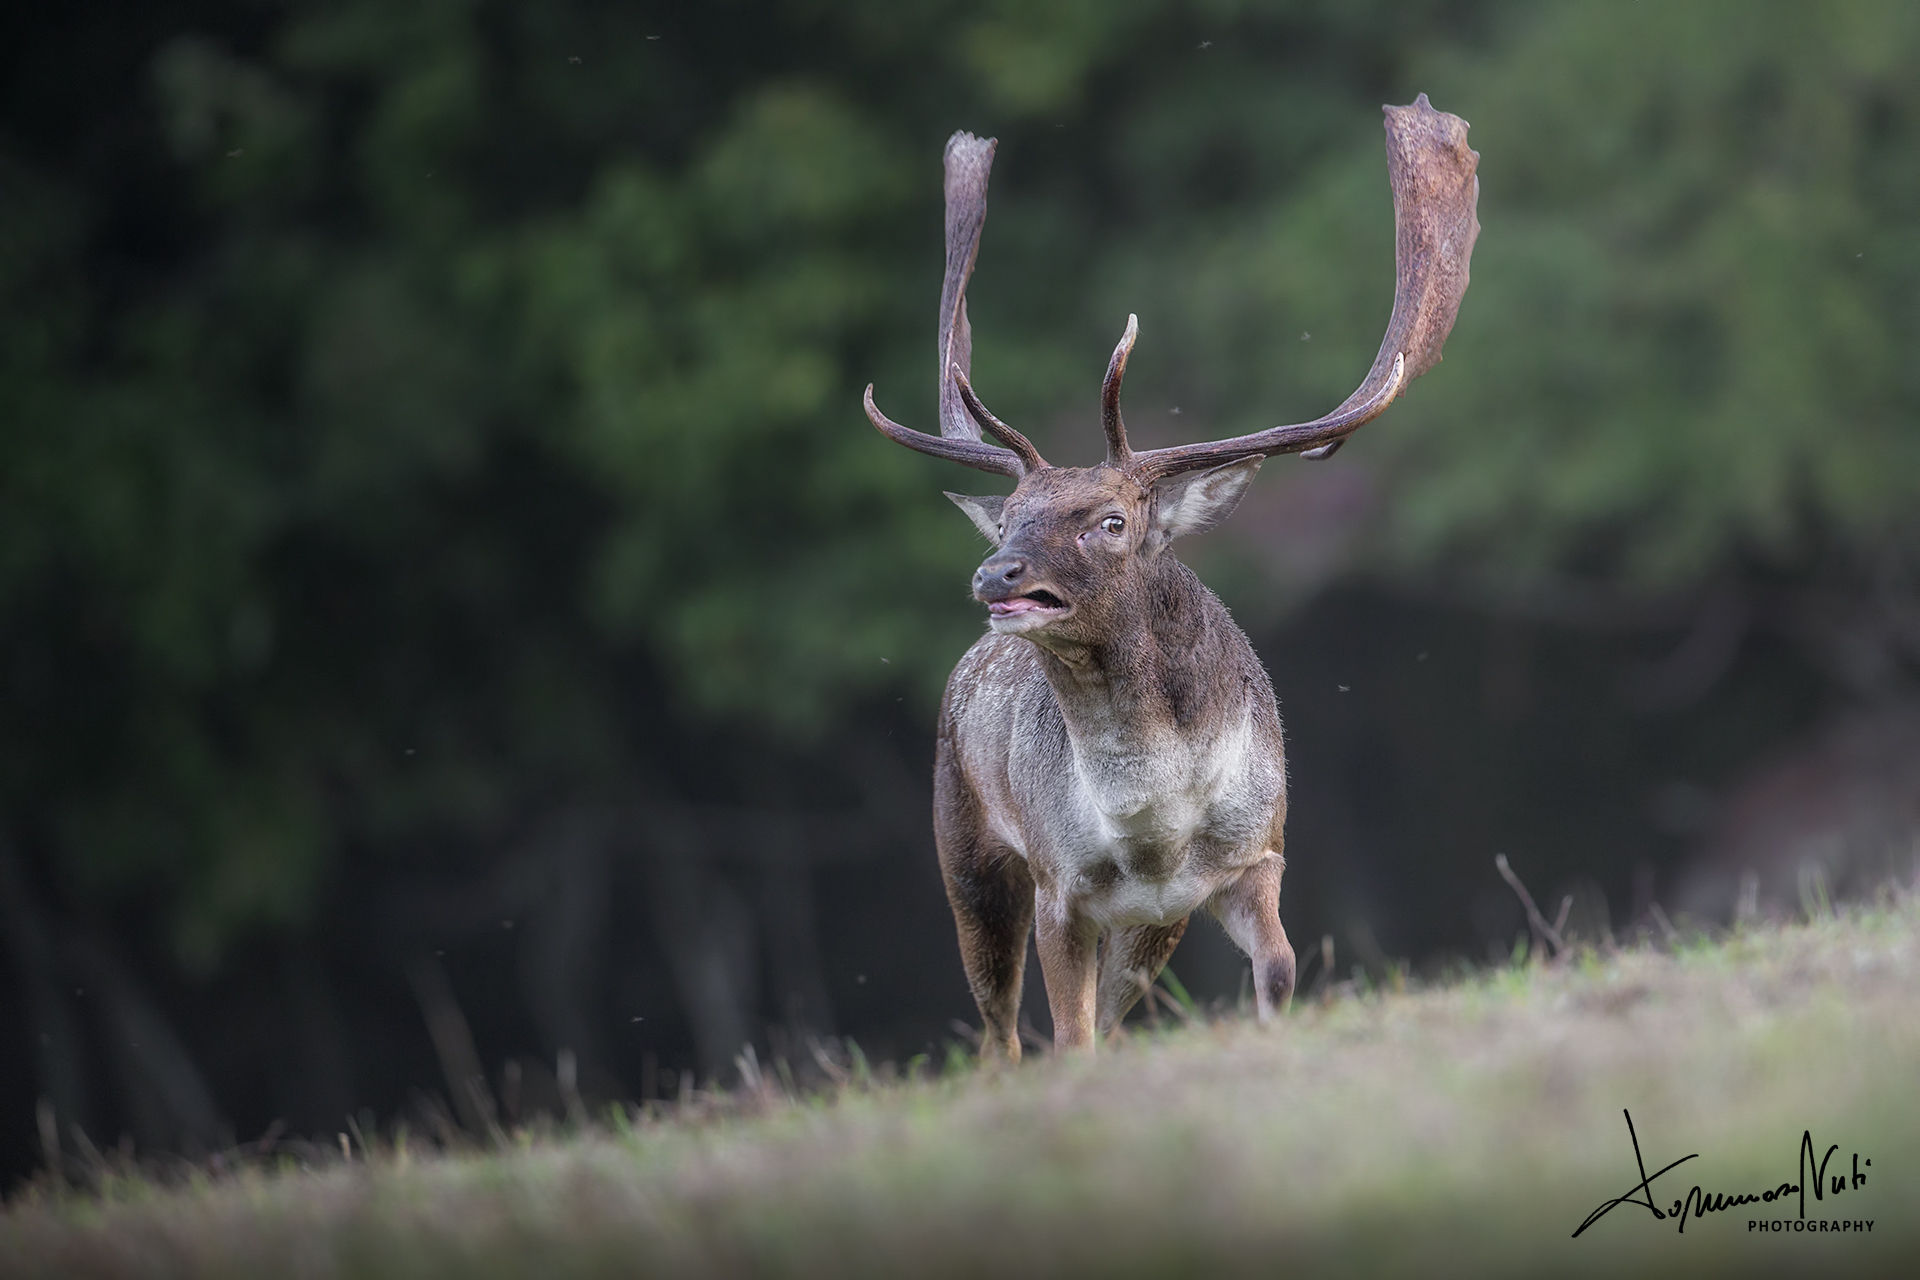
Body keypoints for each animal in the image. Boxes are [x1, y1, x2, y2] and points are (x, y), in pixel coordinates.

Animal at [863, 96, 1478, 1059]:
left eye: (1113, 521)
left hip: (1149, 927)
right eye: (1009, 516)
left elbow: (1281, 970)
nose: (997, 572)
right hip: (964, 847)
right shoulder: (1060, 885)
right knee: (999, 1032)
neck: (1154, 828)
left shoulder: (1253, 858)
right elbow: (1068, 1034)